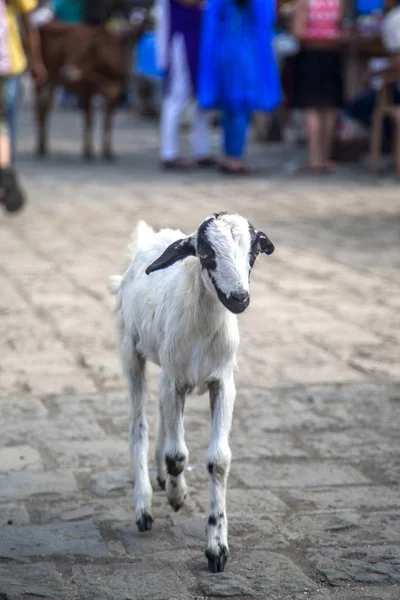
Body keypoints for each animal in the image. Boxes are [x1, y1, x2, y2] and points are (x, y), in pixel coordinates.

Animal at [35, 18, 147, 159]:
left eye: (83, 55)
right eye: (70, 52)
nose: (65, 73)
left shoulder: (115, 92)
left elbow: (108, 123)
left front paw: (108, 152)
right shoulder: (86, 90)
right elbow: (89, 121)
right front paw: (88, 152)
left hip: (52, 83)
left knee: (46, 108)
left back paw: (44, 146)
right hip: (40, 78)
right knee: (39, 109)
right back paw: (39, 148)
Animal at [112, 211, 276, 572]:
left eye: (254, 253)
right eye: (204, 253)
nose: (239, 298)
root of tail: (155, 236)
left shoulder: (222, 383)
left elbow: (219, 460)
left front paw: (217, 547)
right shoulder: (174, 380)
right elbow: (178, 456)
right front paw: (177, 497)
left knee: (161, 415)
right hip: (131, 351)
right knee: (138, 424)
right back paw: (144, 505)